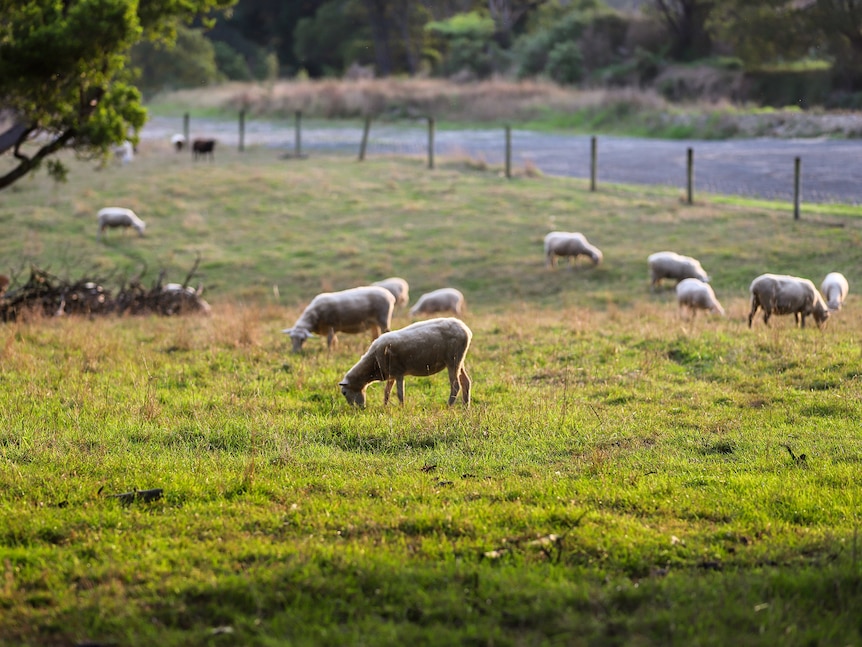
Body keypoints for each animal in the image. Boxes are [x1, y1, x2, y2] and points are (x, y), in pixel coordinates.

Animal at [339, 317, 472, 407]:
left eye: (344, 393)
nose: (358, 409)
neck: (372, 364)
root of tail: (466, 330)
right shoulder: (391, 374)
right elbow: (387, 391)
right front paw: (385, 406)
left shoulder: (398, 372)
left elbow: (399, 393)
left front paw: (401, 408)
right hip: (459, 360)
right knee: (466, 382)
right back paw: (465, 406)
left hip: (453, 360)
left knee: (456, 385)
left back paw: (449, 406)